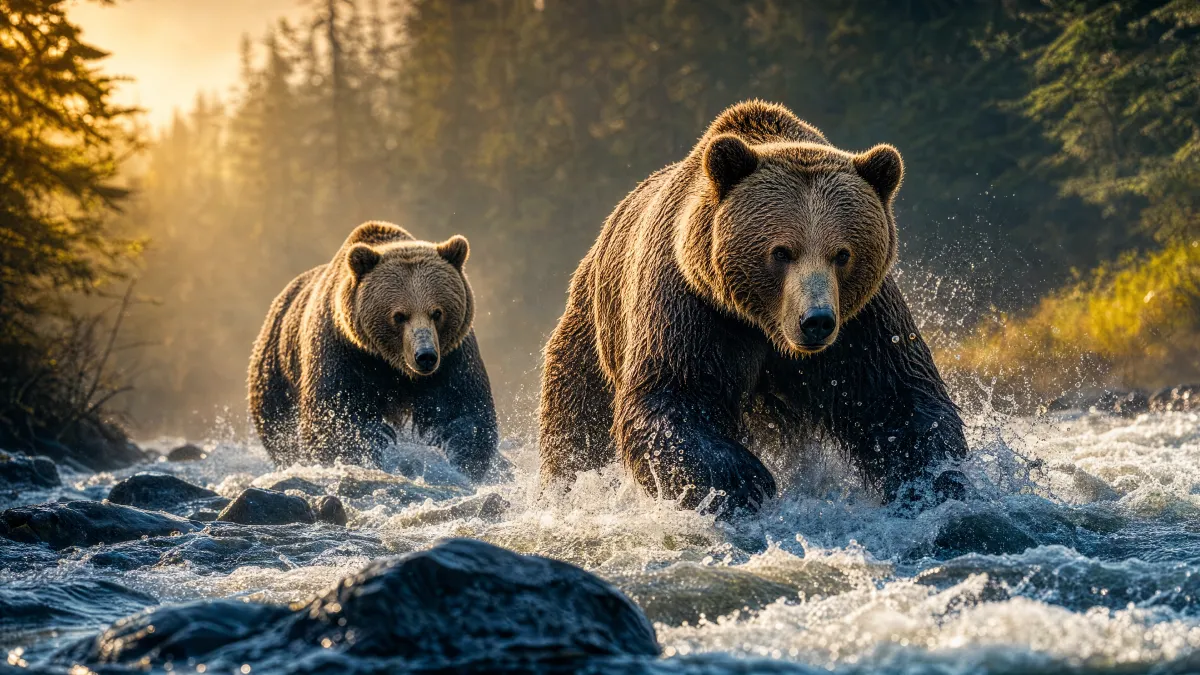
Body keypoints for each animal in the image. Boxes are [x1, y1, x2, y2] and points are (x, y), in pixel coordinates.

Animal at [249, 221, 498, 480]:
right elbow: (333, 414)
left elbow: (461, 408)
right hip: (275, 373)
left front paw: (455, 457)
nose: (425, 356)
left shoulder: (452, 355)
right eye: (399, 315)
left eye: (437, 312)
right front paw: (377, 438)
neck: (392, 363)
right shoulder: (343, 350)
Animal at [538, 100, 968, 516]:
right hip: (594, 332)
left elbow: (897, 400)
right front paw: (744, 481)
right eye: (781, 251)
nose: (816, 321)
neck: (767, 327)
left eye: (842, 254)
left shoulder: (862, 325)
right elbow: (675, 395)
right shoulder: (694, 307)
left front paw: (934, 481)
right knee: (577, 421)